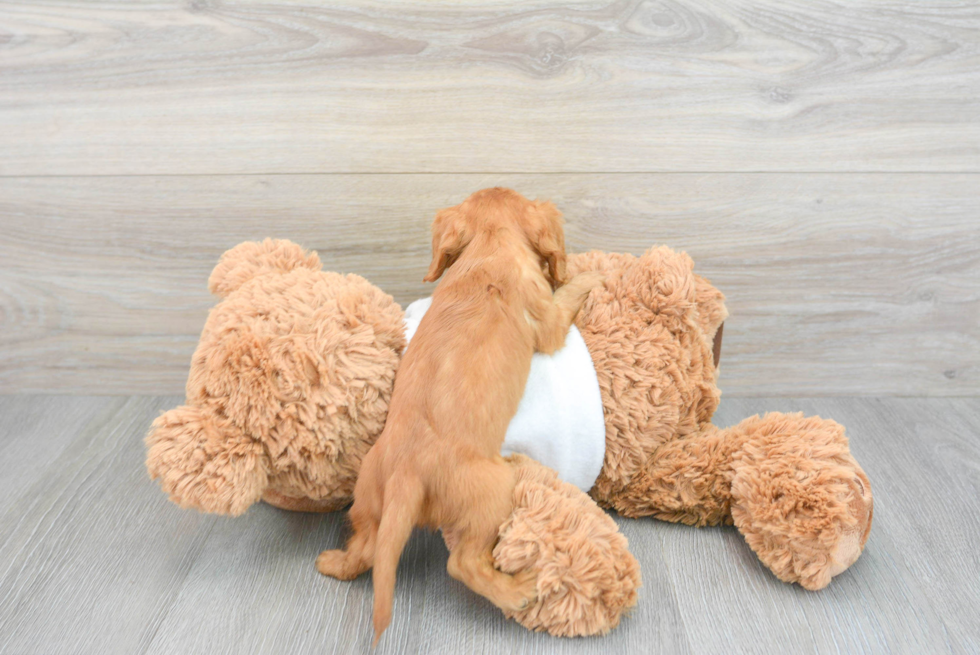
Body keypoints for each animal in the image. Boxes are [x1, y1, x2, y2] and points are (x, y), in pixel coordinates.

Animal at [318, 187, 600, 644]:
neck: (489, 246)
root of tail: (407, 473)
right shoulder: (550, 321)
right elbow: (567, 296)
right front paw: (590, 278)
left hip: (368, 496)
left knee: (366, 548)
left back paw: (332, 563)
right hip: (494, 492)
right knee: (463, 563)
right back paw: (517, 590)